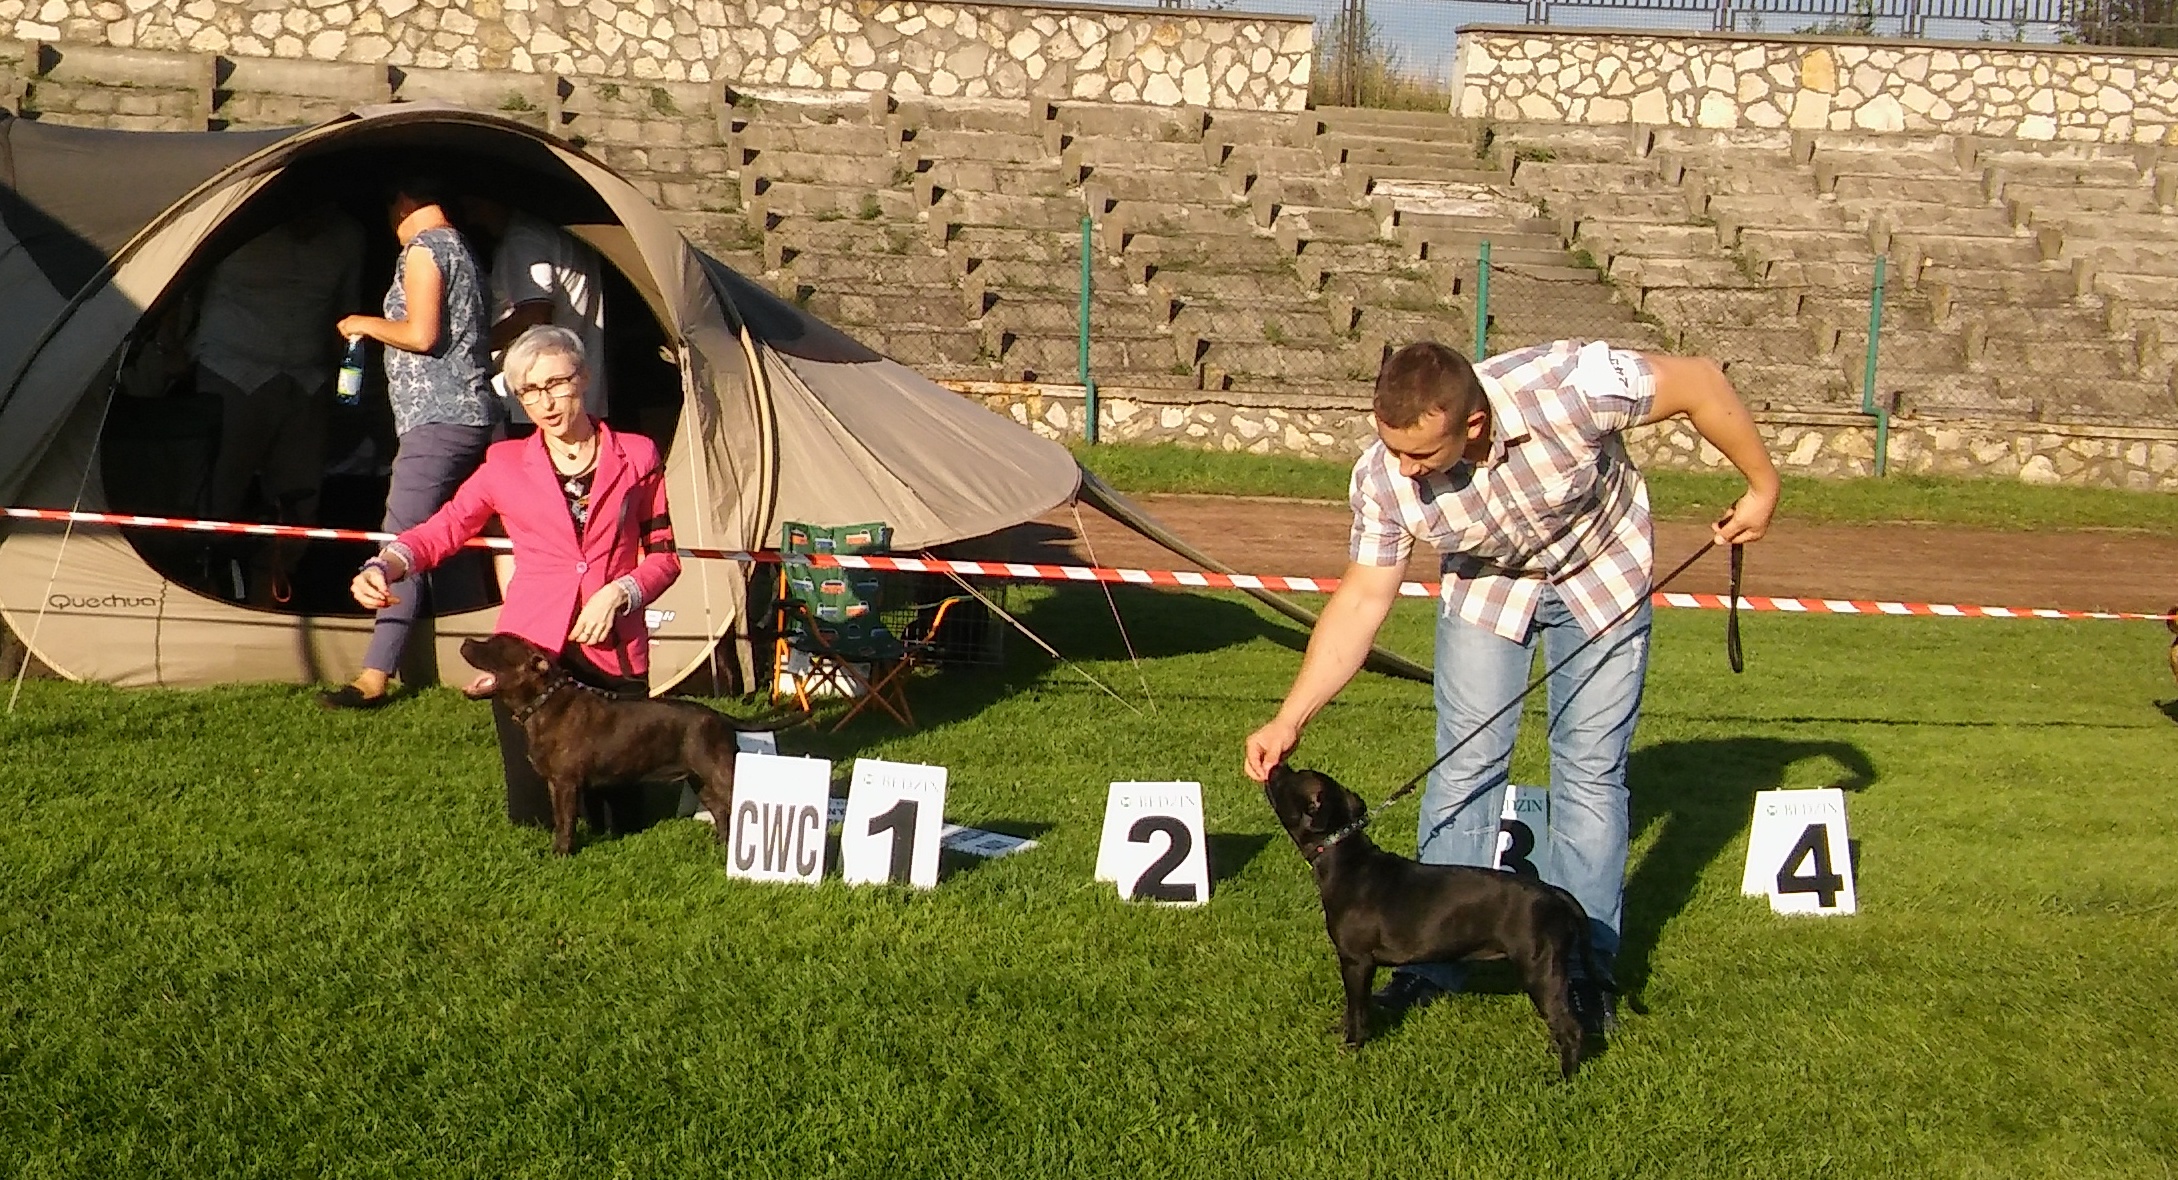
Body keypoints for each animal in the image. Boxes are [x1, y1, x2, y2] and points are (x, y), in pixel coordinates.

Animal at [461, 633, 765, 857]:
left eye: (494, 647)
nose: (465, 641)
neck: (543, 703)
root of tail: (719, 717)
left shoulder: (566, 784)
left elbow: (566, 823)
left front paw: (560, 854)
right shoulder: (555, 784)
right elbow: (560, 820)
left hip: (721, 774)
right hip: (699, 780)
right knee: (721, 811)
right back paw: (721, 846)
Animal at [1262, 763, 1614, 1079]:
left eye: (1289, 778)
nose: (1274, 765)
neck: (1342, 856)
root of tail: (1556, 894)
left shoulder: (1356, 962)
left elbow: (1358, 1007)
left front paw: (1353, 1044)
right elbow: (1353, 1008)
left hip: (1541, 971)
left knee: (1571, 1028)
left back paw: (1563, 1076)